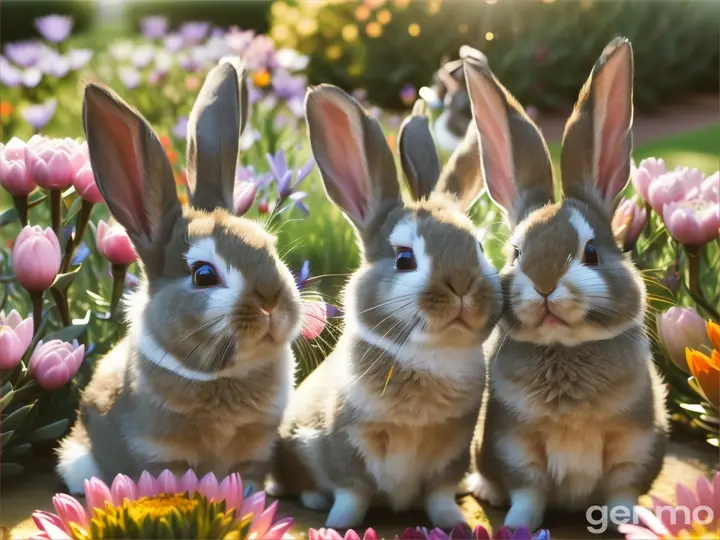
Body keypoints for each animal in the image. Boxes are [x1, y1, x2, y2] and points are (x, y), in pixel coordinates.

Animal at [56, 60, 302, 494]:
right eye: (203, 275)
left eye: (270, 247)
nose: (272, 301)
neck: (223, 375)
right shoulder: (160, 455)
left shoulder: (255, 454)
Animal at [268, 86, 504, 528]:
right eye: (405, 259)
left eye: (479, 247)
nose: (463, 286)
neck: (427, 355)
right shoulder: (346, 443)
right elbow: (352, 493)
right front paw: (337, 525)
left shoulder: (452, 450)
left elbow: (439, 494)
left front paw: (454, 523)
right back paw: (314, 500)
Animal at [462, 39, 668, 532]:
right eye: (516, 253)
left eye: (591, 252)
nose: (544, 285)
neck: (565, 348)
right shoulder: (514, 444)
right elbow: (529, 492)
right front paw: (517, 526)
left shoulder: (635, 444)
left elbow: (622, 491)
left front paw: (628, 524)